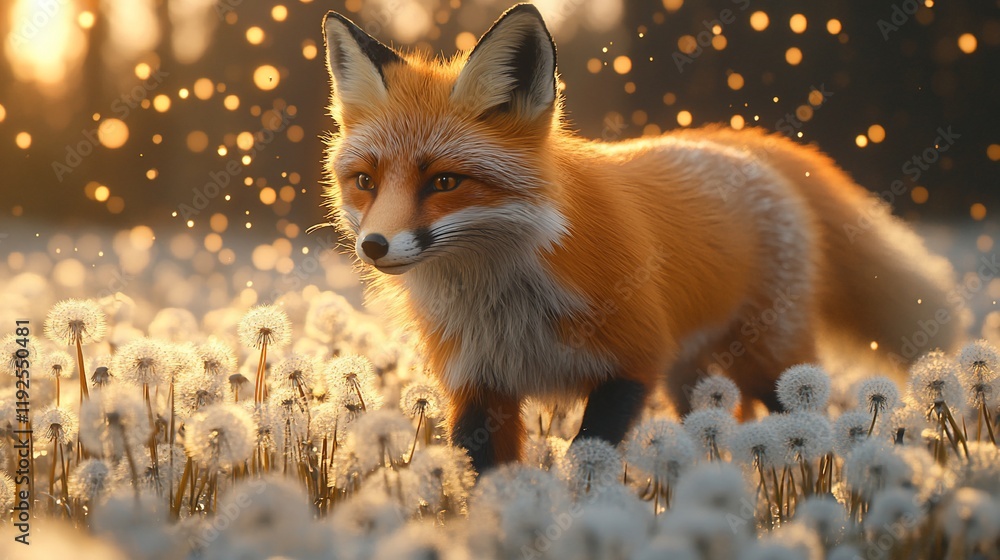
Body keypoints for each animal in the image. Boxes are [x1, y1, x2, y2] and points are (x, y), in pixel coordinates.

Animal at [321, 4, 964, 472]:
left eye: (445, 182)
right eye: (365, 182)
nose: (374, 246)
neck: (505, 299)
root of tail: (739, 142)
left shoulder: (633, 360)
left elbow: (587, 462)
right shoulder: (479, 387)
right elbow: (486, 484)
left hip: (771, 362)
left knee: (808, 418)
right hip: (694, 380)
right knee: (725, 424)